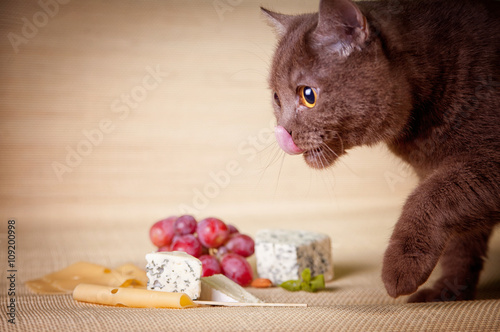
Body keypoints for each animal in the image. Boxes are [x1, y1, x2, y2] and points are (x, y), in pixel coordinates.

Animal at [264, 0, 498, 302]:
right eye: (276, 98)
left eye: (308, 95)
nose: (283, 134)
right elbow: (462, 240)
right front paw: (449, 291)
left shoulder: (485, 162)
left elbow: (431, 197)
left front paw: (401, 268)